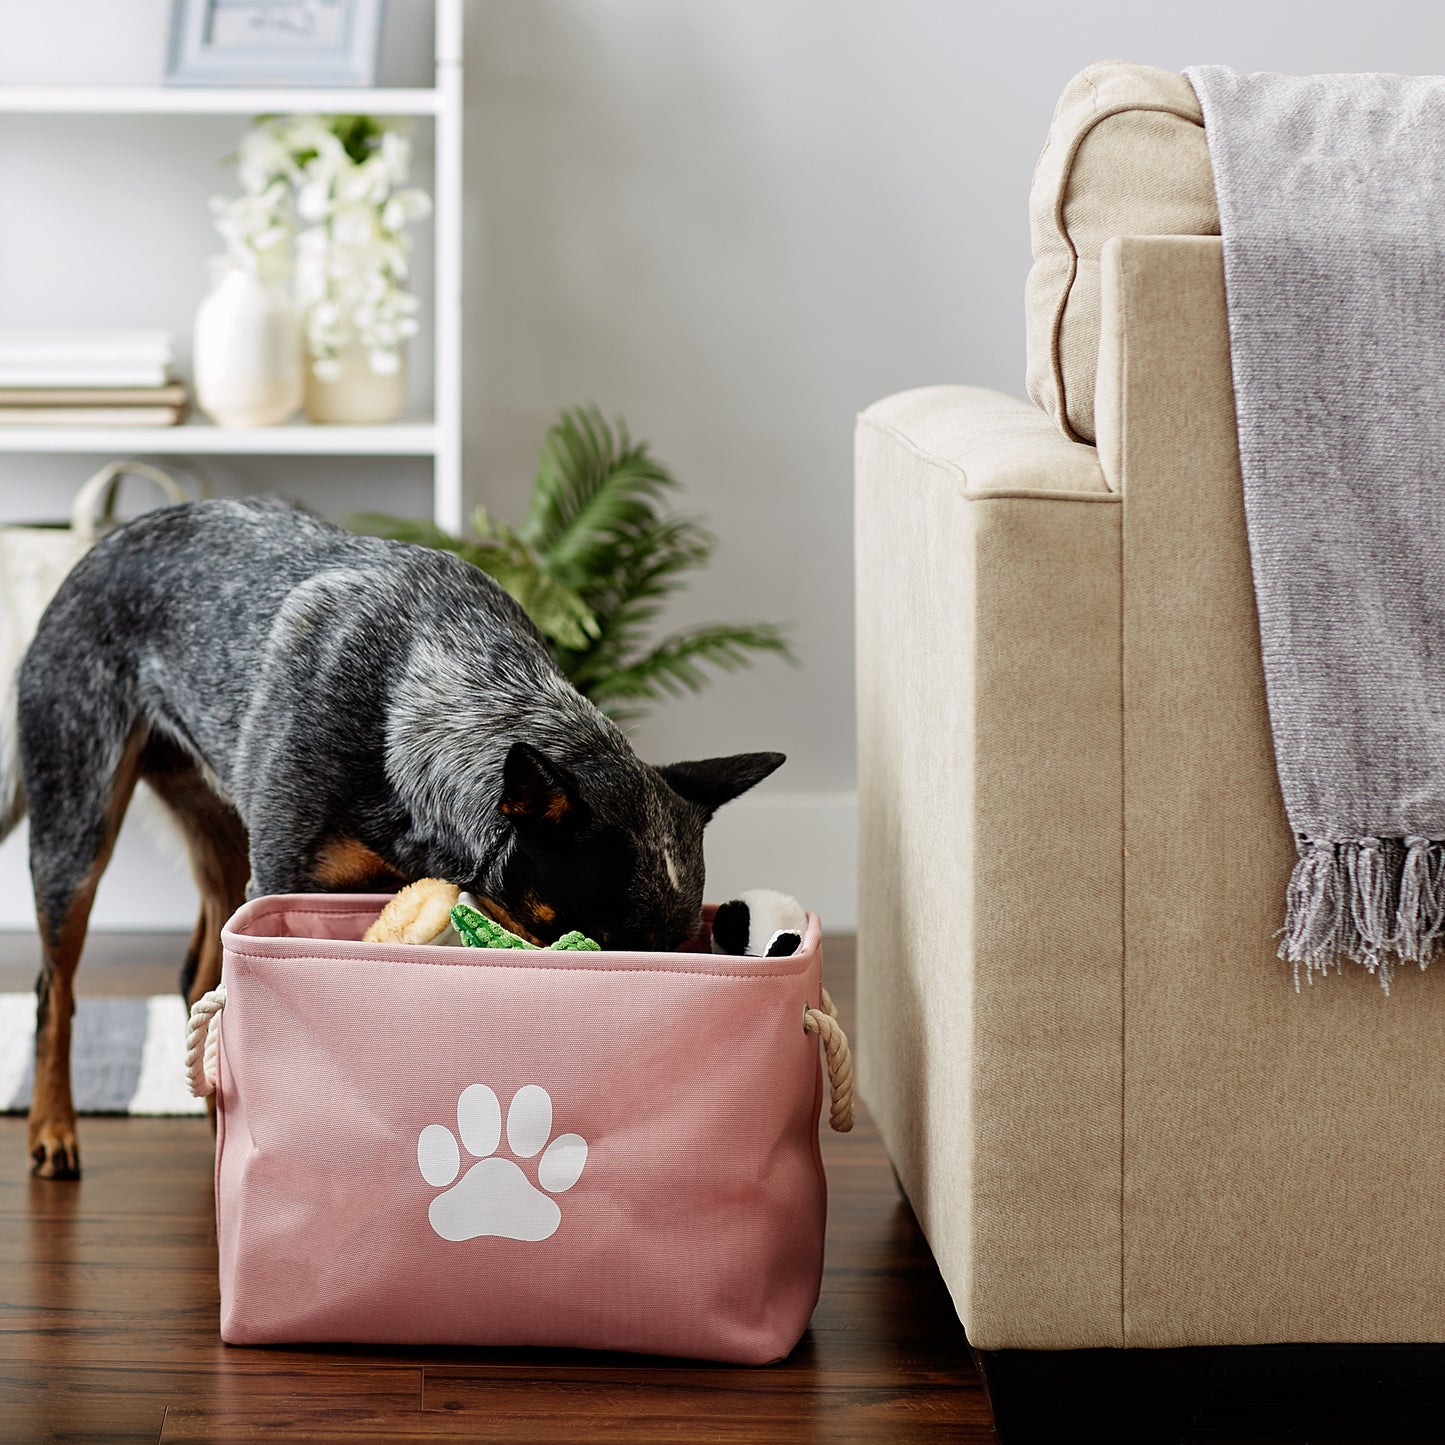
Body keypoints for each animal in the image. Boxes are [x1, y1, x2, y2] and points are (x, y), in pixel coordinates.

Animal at [5, 502, 786, 1179]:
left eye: (681, 945)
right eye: (602, 944)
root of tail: (100, 542)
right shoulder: (283, 881)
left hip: (220, 825)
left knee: (198, 975)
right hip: (78, 822)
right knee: (55, 986)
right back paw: (53, 1130)